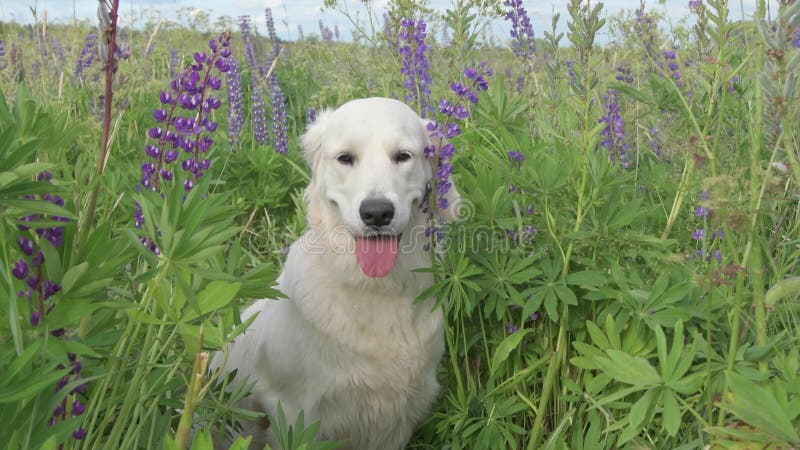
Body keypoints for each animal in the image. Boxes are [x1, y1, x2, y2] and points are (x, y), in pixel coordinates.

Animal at [216, 96, 460, 448]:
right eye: (345, 158)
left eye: (403, 156)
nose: (377, 213)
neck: (376, 291)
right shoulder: (295, 413)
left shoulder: (399, 418)